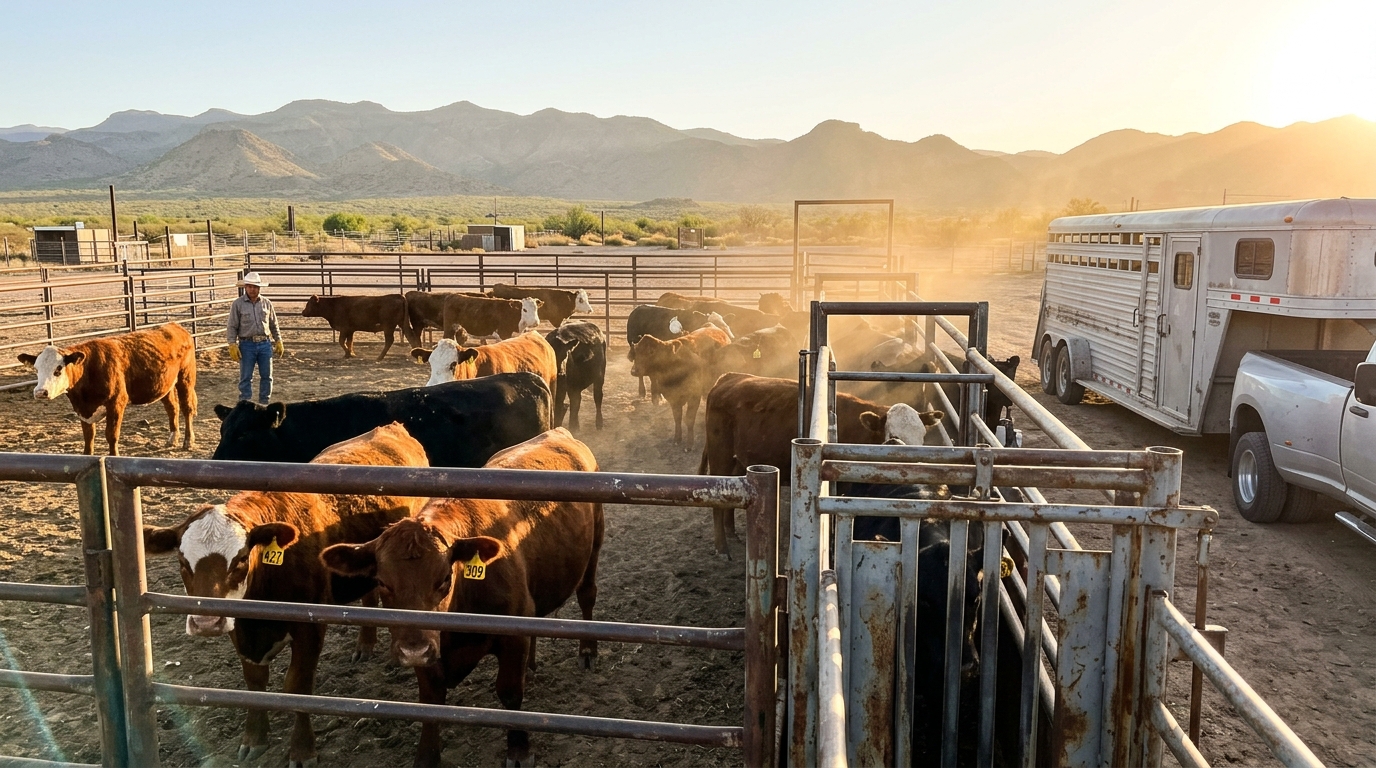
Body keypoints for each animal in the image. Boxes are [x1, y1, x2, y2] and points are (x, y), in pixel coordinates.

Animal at [17, 322, 196, 456]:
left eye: (58, 369)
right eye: (36, 369)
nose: (40, 392)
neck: (89, 370)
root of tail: (176, 327)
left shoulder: (116, 403)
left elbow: (111, 435)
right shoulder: (83, 410)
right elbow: (89, 438)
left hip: (185, 378)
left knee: (186, 408)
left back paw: (188, 441)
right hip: (165, 385)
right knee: (172, 408)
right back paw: (173, 438)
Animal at [142, 423, 431, 767]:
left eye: (241, 559)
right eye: (183, 562)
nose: (206, 623)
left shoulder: (309, 627)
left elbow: (298, 686)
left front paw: (302, 749)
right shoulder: (240, 628)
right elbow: (254, 682)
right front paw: (254, 739)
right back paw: (365, 645)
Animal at [321, 428, 604, 768]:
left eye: (445, 578)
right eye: (382, 582)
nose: (413, 649)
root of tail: (557, 432)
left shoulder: (511, 637)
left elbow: (510, 692)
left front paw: (519, 750)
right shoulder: (429, 649)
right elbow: (430, 700)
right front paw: (427, 756)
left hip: (594, 547)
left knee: (587, 594)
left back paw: (587, 651)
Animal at [698, 372, 943, 555]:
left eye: (922, 436)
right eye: (893, 436)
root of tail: (730, 377)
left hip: (739, 460)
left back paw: (731, 532)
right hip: (720, 454)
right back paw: (722, 547)